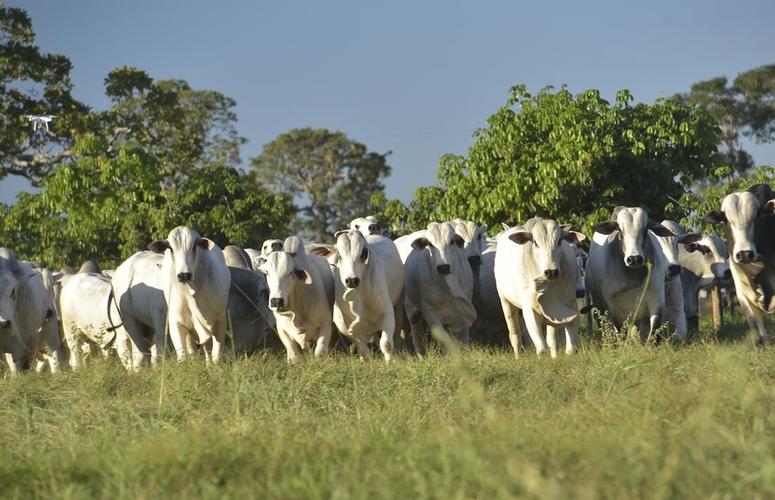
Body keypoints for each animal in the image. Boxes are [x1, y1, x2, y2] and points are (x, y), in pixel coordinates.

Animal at [149, 227, 232, 364]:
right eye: (171, 248)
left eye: (194, 246)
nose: (184, 275)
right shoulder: (176, 323)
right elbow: (183, 356)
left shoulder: (220, 321)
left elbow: (216, 355)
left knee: (207, 349)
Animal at [310, 229, 406, 362]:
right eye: (339, 255)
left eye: (363, 253)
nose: (351, 280)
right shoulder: (348, 326)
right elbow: (363, 349)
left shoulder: (387, 312)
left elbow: (386, 344)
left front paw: (390, 362)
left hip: (399, 305)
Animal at [398, 223, 476, 356]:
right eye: (430, 244)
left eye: (452, 241)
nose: (443, 267)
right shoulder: (430, 311)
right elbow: (444, 340)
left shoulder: (466, 309)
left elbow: (463, 339)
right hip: (410, 309)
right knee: (416, 337)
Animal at [494, 217, 584, 358]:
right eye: (535, 243)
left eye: (559, 241)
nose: (551, 272)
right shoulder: (530, 311)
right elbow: (541, 348)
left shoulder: (569, 311)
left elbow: (569, 348)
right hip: (505, 301)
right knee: (515, 336)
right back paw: (517, 357)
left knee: (551, 340)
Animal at [708, 186, 775, 346]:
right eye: (725, 220)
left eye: (757, 217)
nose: (744, 254)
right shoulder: (741, 287)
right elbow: (754, 317)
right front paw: (760, 342)